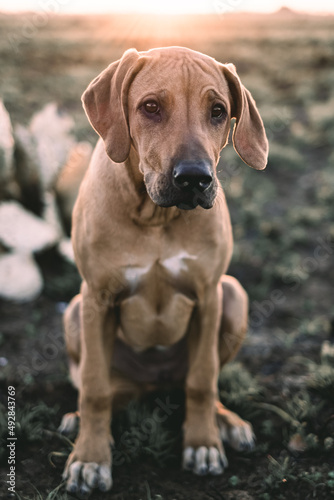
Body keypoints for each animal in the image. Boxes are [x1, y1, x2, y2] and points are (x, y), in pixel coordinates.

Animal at [60, 47, 268, 496]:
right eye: (150, 107)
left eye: (218, 111)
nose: (194, 178)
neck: (156, 216)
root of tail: (152, 381)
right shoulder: (96, 298)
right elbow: (95, 389)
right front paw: (90, 459)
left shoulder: (209, 295)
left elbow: (203, 379)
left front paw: (203, 443)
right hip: (74, 312)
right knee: (106, 387)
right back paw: (79, 421)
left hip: (234, 296)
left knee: (195, 378)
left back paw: (226, 421)